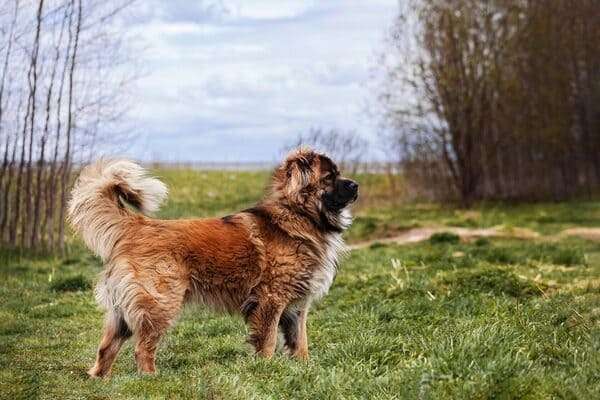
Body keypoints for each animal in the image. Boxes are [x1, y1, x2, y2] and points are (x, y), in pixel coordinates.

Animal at [69, 146, 360, 376]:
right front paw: (265, 370)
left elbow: (300, 343)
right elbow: (267, 342)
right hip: (159, 303)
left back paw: (100, 380)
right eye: (330, 177)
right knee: (142, 348)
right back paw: (150, 378)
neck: (299, 214)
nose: (355, 185)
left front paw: (303, 369)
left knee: (106, 348)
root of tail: (137, 225)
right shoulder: (271, 300)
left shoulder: (297, 306)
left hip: (123, 312)